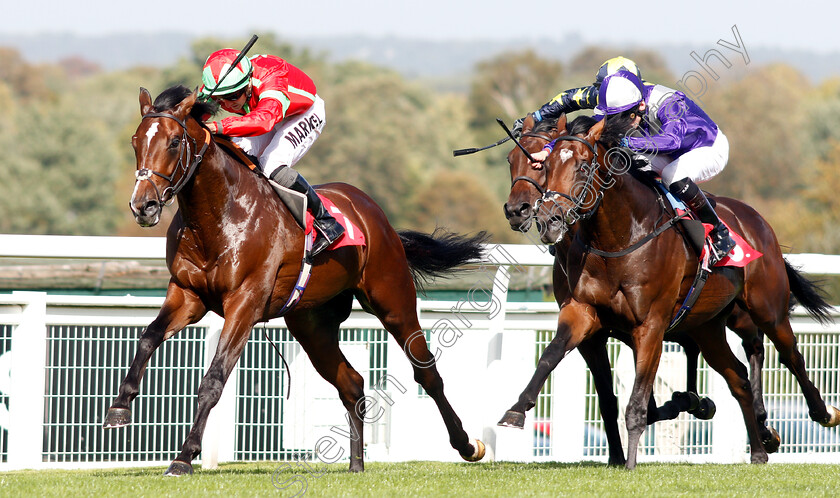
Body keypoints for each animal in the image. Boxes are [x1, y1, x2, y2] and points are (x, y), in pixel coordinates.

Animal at [105, 85, 486, 474]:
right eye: (136, 141)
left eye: (173, 142)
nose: (143, 206)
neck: (219, 215)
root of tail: (373, 212)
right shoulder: (187, 295)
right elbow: (148, 337)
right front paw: (119, 407)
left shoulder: (244, 302)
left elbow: (213, 379)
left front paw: (184, 456)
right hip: (311, 324)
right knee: (352, 383)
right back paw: (356, 465)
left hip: (392, 299)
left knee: (426, 372)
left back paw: (467, 445)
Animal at [498, 114, 832, 466]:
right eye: (540, 164)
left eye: (583, 167)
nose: (535, 214)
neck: (618, 238)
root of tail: (757, 220)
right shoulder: (585, 318)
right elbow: (557, 360)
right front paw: (517, 411)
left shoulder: (651, 325)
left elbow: (638, 402)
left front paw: (630, 461)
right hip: (708, 327)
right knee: (738, 376)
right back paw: (757, 449)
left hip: (766, 308)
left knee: (787, 353)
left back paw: (819, 413)